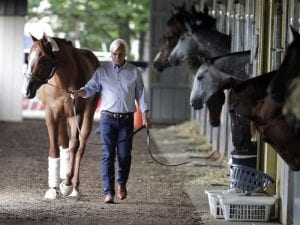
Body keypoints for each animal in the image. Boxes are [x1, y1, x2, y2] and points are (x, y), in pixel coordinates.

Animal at [22, 33, 99, 199]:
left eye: (42, 59)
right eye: (28, 57)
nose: (26, 91)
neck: (62, 80)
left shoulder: (76, 114)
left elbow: (74, 145)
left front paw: (68, 184)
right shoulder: (50, 115)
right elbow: (54, 148)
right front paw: (52, 188)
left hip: (87, 114)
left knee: (80, 146)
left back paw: (74, 186)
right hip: (62, 118)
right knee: (64, 143)